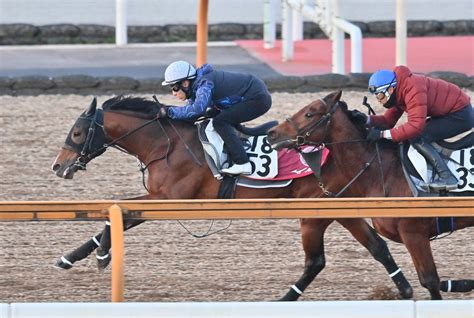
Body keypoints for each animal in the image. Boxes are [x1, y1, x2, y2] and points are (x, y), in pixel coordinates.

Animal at [52, 95, 414, 300]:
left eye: (77, 132)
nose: (59, 166)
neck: (166, 143)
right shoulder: (159, 195)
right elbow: (118, 214)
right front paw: (70, 257)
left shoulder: (169, 198)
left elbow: (122, 214)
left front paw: (101, 254)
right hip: (335, 206)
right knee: (376, 246)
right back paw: (404, 288)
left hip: (318, 209)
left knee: (330, 257)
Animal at [266, 90, 474, 300]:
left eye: (310, 113)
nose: (272, 134)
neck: (383, 169)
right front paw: (460, 283)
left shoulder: (414, 233)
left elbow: (430, 281)